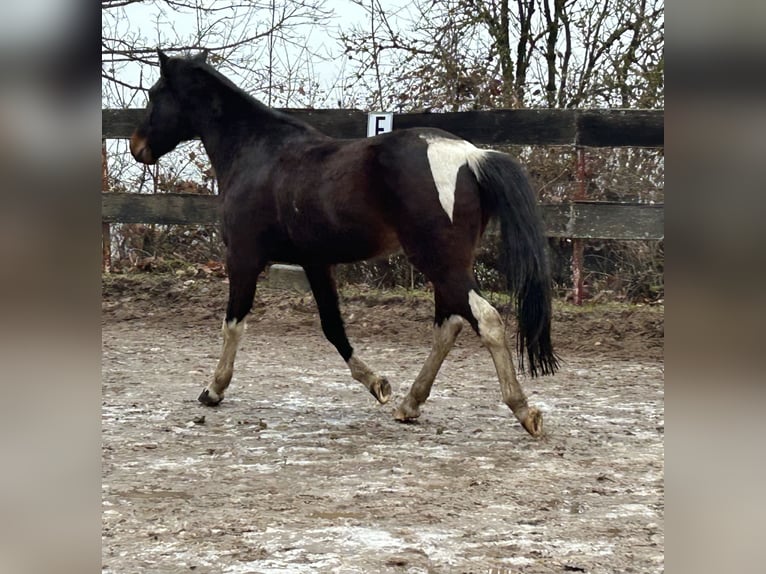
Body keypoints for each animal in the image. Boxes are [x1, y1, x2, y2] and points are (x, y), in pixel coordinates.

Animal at [130, 51, 558, 437]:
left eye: (154, 93)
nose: (137, 146)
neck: (257, 152)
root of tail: (471, 156)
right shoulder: (316, 263)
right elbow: (333, 326)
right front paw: (378, 385)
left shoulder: (243, 258)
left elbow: (234, 323)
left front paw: (213, 390)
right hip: (447, 264)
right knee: (450, 324)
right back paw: (409, 404)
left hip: (439, 262)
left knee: (484, 319)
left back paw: (524, 411)